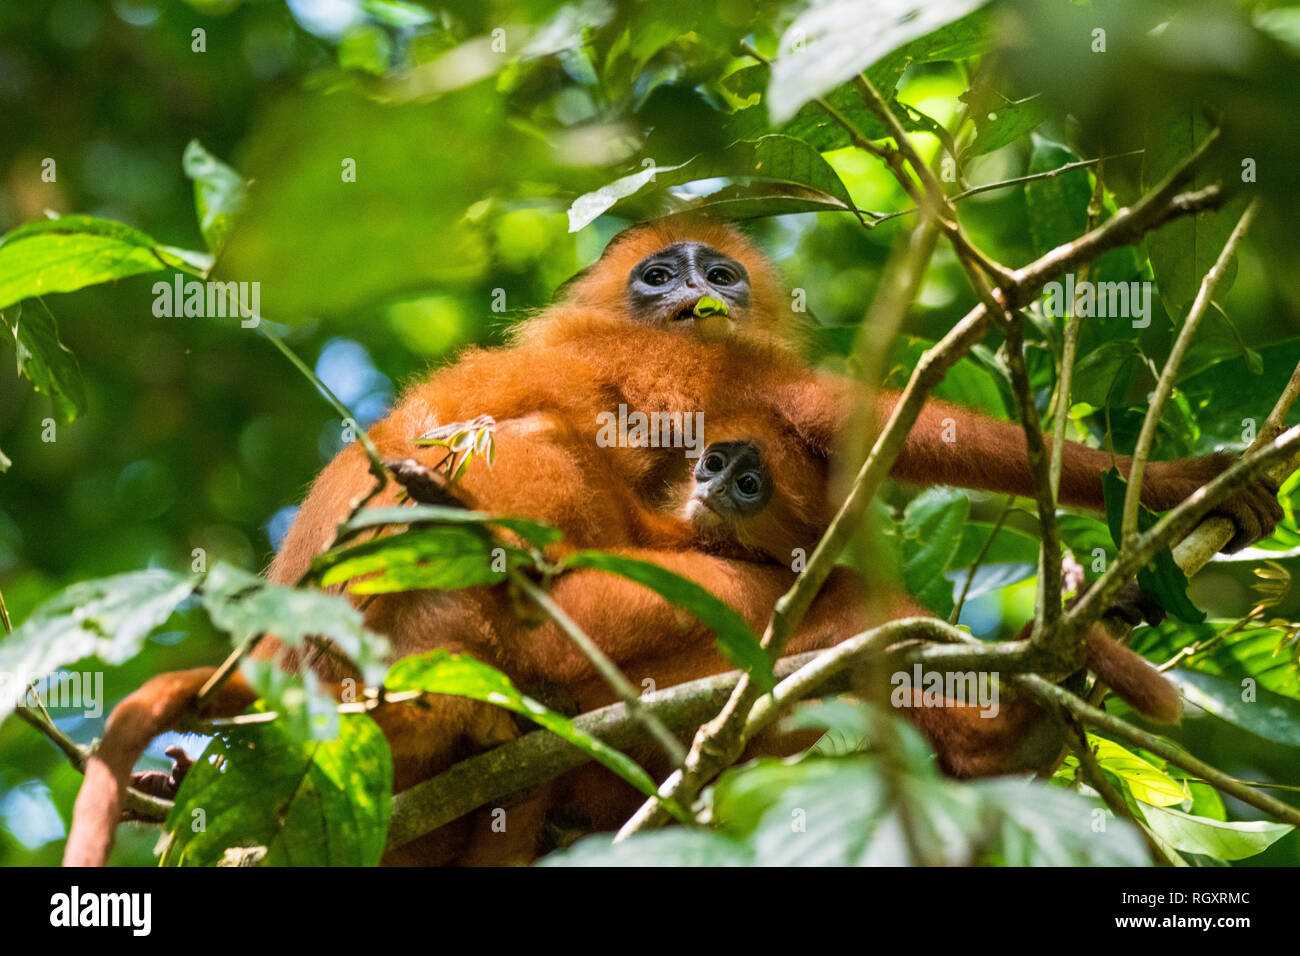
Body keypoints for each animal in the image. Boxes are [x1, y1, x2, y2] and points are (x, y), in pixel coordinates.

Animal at [62, 218, 1283, 866]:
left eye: (720, 270)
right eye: (661, 272)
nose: (697, 287)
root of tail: (294, 660)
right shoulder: (698, 366)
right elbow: (873, 420)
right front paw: (1163, 482)